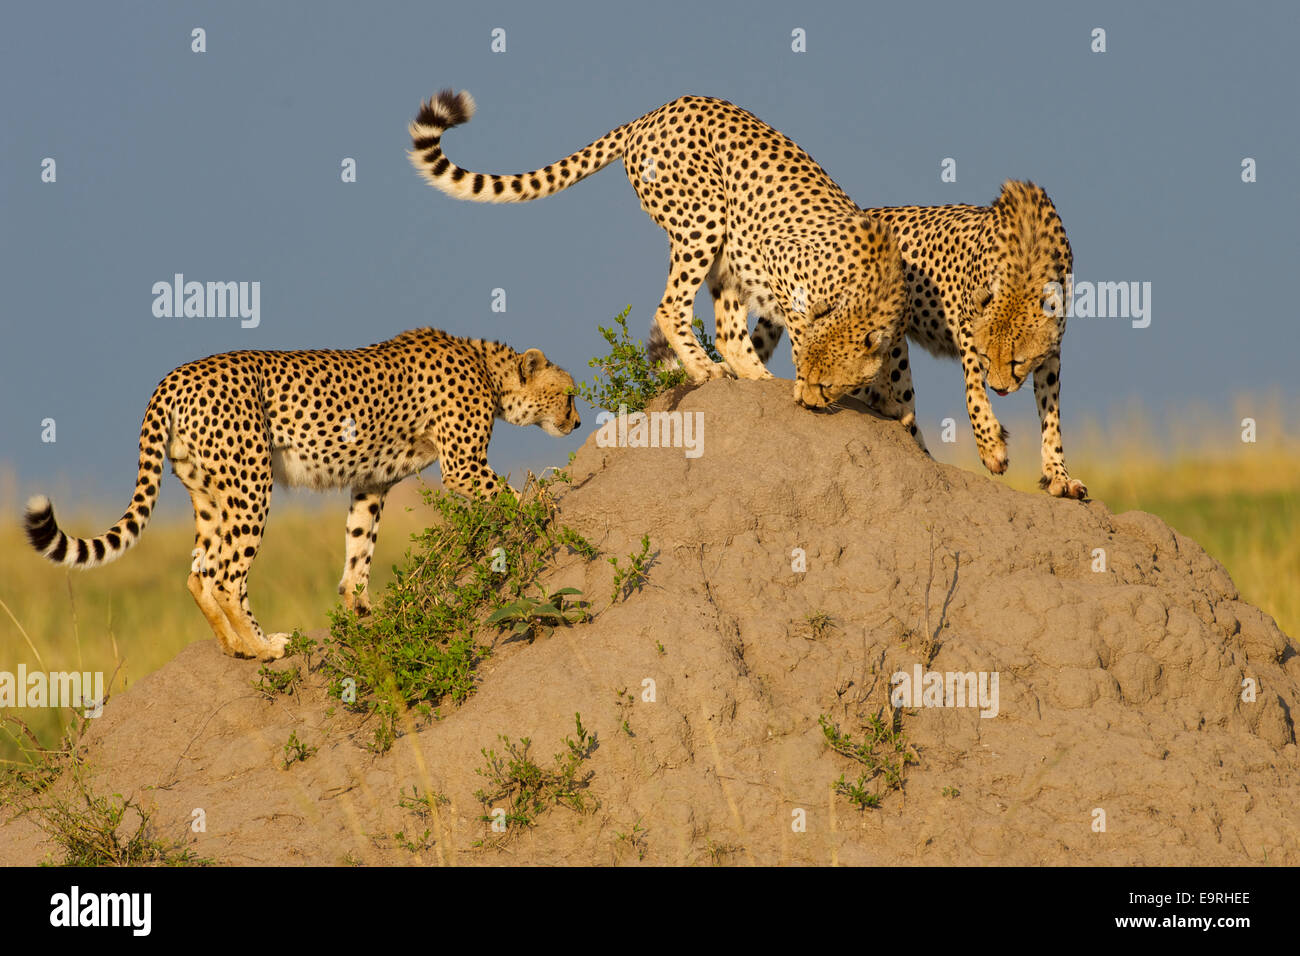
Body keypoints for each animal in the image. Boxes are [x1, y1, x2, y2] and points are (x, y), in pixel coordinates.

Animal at [22, 327, 582, 658]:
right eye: (570, 393)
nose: (578, 422)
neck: (489, 369)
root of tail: (172, 378)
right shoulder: (463, 467)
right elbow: (509, 496)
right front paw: (541, 509)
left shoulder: (370, 481)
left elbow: (359, 549)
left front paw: (362, 610)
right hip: (251, 484)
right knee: (226, 576)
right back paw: (266, 648)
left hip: (210, 494)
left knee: (199, 572)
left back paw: (236, 647)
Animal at [408, 89, 925, 434]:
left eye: (831, 383)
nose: (813, 402)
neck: (868, 293)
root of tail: (656, 110)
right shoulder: (782, 263)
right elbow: (800, 328)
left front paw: (892, 410)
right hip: (703, 216)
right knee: (672, 306)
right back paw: (706, 371)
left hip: (723, 245)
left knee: (727, 331)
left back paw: (754, 377)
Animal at [754, 182, 1086, 504]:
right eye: (987, 357)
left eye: (1018, 361)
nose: (1000, 388)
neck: (1028, 259)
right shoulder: (966, 326)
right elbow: (974, 392)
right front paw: (992, 447)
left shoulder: (1051, 351)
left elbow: (1050, 415)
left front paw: (1059, 476)